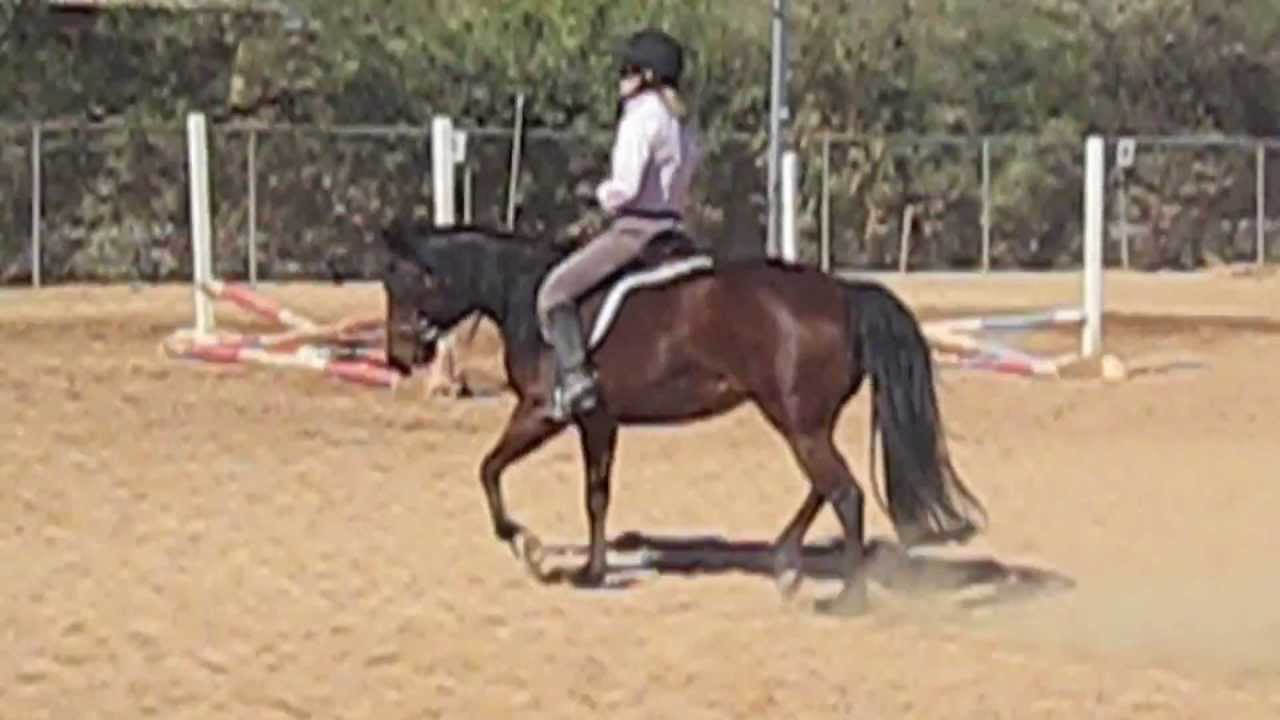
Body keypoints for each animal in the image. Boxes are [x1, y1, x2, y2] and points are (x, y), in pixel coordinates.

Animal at [379, 218, 987, 615]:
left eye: (404, 281)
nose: (399, 357)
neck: (525, 296)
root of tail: (842, 293)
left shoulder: (541, 412)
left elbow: (488, 469)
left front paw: (525, 544)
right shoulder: (598, 422)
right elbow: (596, 495)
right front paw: (592, 571)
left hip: (798, 423)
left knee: (845, 492)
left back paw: (844, 598)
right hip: (802, 421)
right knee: (827, 486)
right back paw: (786, 564)